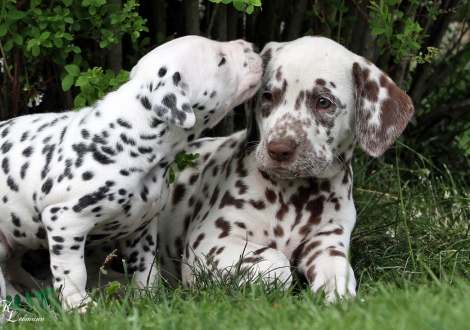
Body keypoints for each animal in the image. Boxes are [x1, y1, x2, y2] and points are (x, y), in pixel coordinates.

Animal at [0, 36, 264, 312]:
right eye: (221, 59)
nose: (255, 47)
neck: (130, 134)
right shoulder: (65, 220)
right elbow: (74, 272)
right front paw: (79, 306)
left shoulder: (142, 226)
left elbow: (146, 267)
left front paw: (151, 298)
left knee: (12, 267)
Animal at [157, 36, 412, 302]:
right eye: (268, 95)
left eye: (323, 102)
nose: (278, 149)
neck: (294, 198)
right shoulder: (210, 243)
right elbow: (276, 261)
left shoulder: (327, 245)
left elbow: (339, 276)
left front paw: (341, 299)